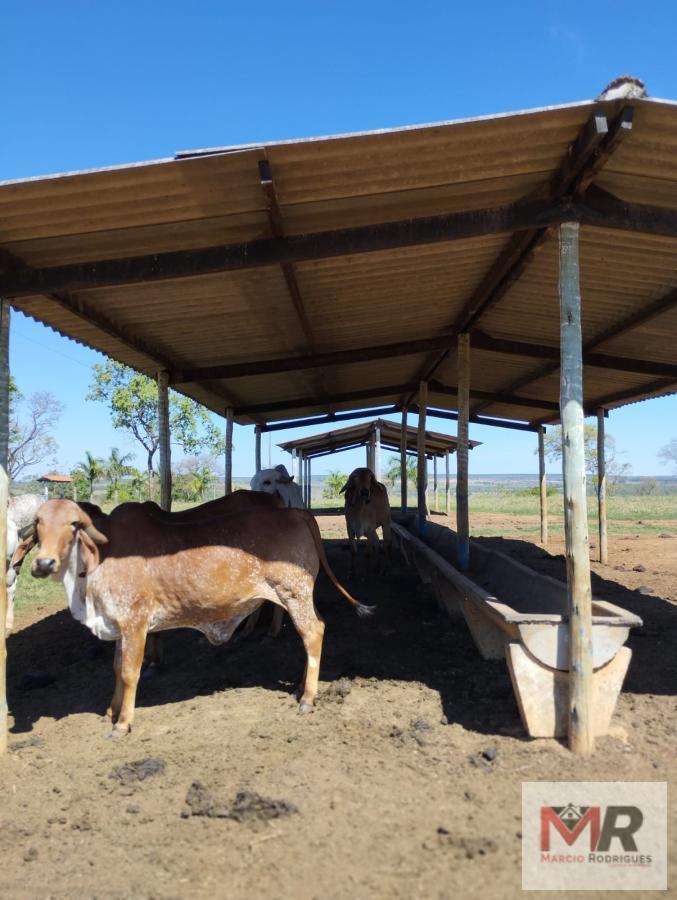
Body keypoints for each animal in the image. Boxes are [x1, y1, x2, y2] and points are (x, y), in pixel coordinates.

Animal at [21, 500, 370, 740]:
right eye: (38, 522)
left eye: (74, 524)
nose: (44, 563)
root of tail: (295, 511)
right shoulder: (119, 626)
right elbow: (117, 669)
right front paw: (112, 709)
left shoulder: (135, 623)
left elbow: (130, 674)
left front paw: (122, 723)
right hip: (297, 596)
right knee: (315, 630)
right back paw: (300, 687)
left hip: (294, 593)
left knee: (312, 633)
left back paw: (308, 697)